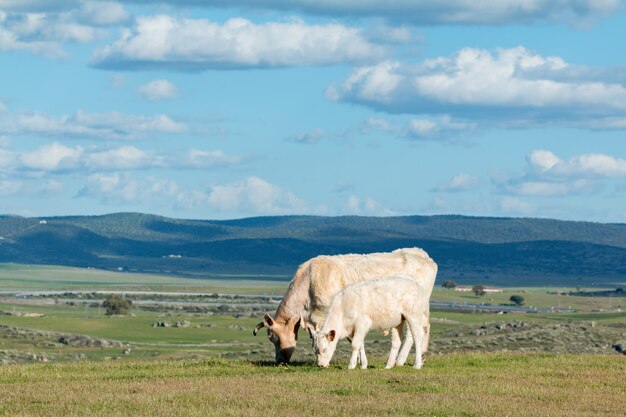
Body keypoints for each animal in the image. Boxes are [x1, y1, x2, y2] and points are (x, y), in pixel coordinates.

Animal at [251, 249, 436, 362]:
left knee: (415, 331)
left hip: (414, 310)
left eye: (271, 337)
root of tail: (424, 256)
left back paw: (401, 360)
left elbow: (350, 338)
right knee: (423, 328)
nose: (279, 361)